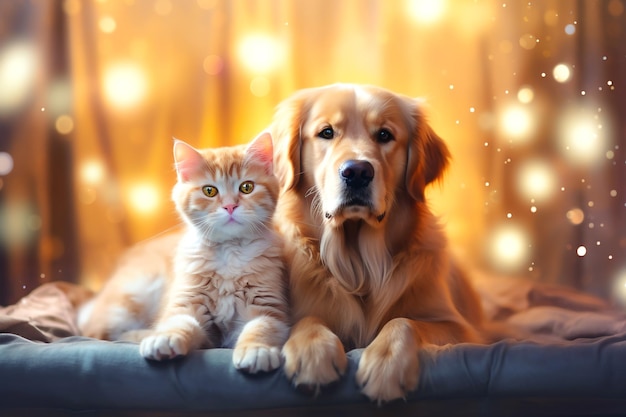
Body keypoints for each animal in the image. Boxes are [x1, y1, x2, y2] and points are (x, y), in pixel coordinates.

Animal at [78, 132, 290, 372]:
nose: (229, 206)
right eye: (209, 191)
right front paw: (164, 339)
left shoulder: (269, 308)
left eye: (246, 187)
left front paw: (257, 350)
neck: (228, 253)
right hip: (133, 296)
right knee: (102, 332)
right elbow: (179, 323)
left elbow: (260, 328)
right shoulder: (186, 303)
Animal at [266, 83, 482, 404]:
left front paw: (387, 364)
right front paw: (313, 352)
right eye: (326, 132)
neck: (360, 264)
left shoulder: (461, 329)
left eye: (384, 135)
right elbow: (307, 320)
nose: (357, 171)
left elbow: (404, 321)